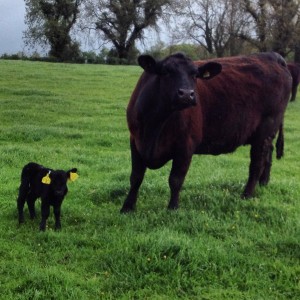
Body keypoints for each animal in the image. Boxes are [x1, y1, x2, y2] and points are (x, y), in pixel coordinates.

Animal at [120, 51, 292, 212]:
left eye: (195, 75)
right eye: (166, 71)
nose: (187, 94)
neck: (155, 125)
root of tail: (273, 56)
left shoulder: (186, 145)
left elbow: (175, 180)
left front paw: (173, 208)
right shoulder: (135, 141)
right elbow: (136, 177)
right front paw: (127, 207)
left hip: (265, 129)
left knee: (256, 164)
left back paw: (247, 195)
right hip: (268, 134)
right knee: (268, 155)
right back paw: (263, 183)